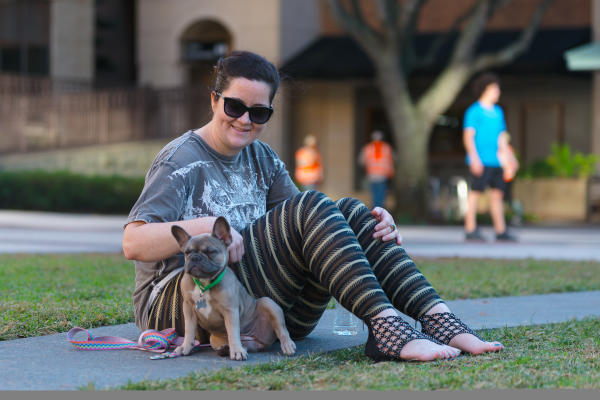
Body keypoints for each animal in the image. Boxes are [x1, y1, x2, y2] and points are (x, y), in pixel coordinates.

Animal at [170, 217, 296, 360]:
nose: (194, 258)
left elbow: (232, 332)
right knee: (245, 345)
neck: (204, 283)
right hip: (216, 340)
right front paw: (185, 346)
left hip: (268, 303)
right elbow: (189, 330)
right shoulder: (189, 309)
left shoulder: (230, 310)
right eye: (187, 253)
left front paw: (236, 350)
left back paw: (287, 345)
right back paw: (227, 349)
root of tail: (257, 340)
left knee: (281, 329)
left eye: (210, 252)